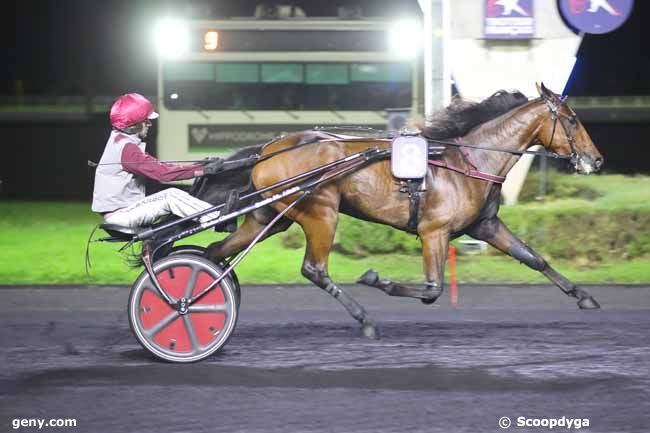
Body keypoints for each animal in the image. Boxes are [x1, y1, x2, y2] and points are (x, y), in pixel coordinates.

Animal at [192, 84, 604, 340]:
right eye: (571, 120)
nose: (596, 160)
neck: (468, 161)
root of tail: (269, 149)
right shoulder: (433, 231)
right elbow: (433, 289)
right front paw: (378, 279)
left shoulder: (485, 225)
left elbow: (533, 258)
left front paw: (584, 296)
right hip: (320, 211)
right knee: (314, 269)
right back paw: (366, 320)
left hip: (269, 217)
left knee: (215, 254)